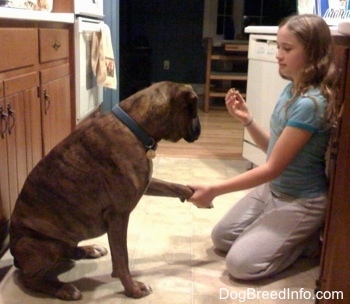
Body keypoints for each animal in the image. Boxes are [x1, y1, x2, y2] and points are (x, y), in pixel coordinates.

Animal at [8, 81, 200, 302]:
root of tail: (14, 255)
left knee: (68, 252)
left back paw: (89, 249)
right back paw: (64, 288)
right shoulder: (119, 216)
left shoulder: (145, 185)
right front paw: (133, 288)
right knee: (29, 279)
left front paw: (193, 193)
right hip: (44, 246)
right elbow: (123, 257)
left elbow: (170, 186)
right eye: (194, 111)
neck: (135, 126)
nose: (199, 130)